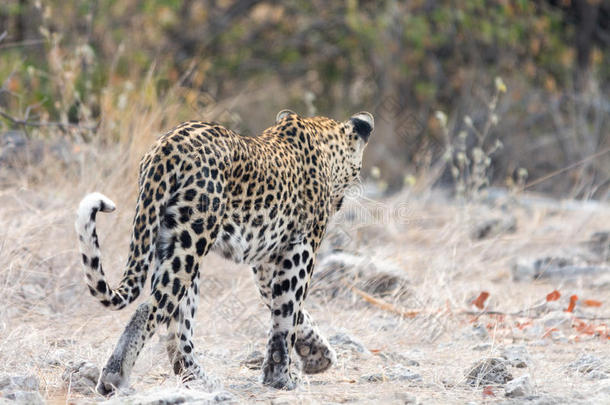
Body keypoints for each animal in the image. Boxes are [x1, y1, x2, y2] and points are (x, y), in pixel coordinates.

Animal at [74, 109, 372, 392]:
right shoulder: (300, 249)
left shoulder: (266, 263)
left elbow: (290, 311)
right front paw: (281, 377)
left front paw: (316, 355)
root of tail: (165, 147)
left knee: (177, 324)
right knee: (151, 308)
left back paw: (200, 380)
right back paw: (114, 376)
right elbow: (288, 312)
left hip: (171, 244)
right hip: (192, 239)